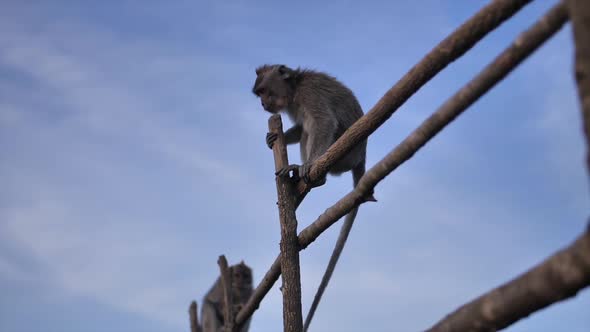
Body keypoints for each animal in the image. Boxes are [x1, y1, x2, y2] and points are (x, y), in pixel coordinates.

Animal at [252, 64, 376, 330]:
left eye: (264, 91)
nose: (264, 105)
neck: (294, 89)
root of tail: (361, 158)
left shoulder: (309, 94)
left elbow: (323, 122)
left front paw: (307, 164)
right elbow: (300, 128)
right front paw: (274, 138)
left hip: (346, 156)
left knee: (316, 130)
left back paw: (310, 173)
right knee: (305, 132)